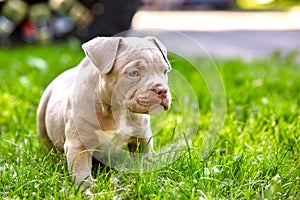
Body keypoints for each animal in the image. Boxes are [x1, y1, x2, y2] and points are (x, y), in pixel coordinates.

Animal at [36, 36, 171, 188]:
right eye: (133, 73)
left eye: (164, 71)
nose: (162, 90)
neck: (116, 111)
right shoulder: (78, 145)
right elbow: (81, 171)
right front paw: (86, 190)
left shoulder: (142, 137)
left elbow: (144, 156)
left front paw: (148, 176)